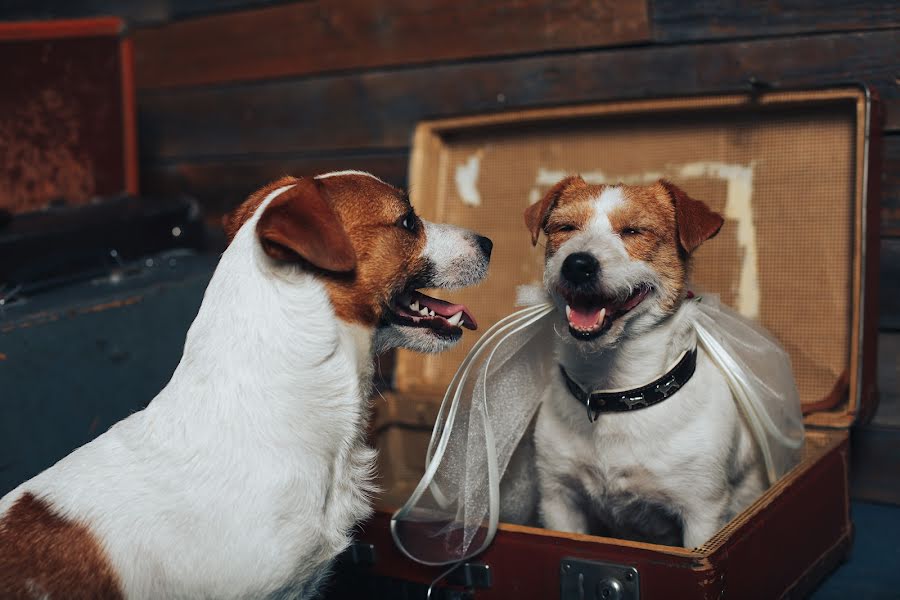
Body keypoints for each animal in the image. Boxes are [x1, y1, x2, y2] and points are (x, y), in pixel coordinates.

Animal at [520, 177, 796, 548]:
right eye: (565, 228)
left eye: (634, 231)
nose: (577, 263)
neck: (616, 393)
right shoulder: (558, 500)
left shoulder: (702, 515)